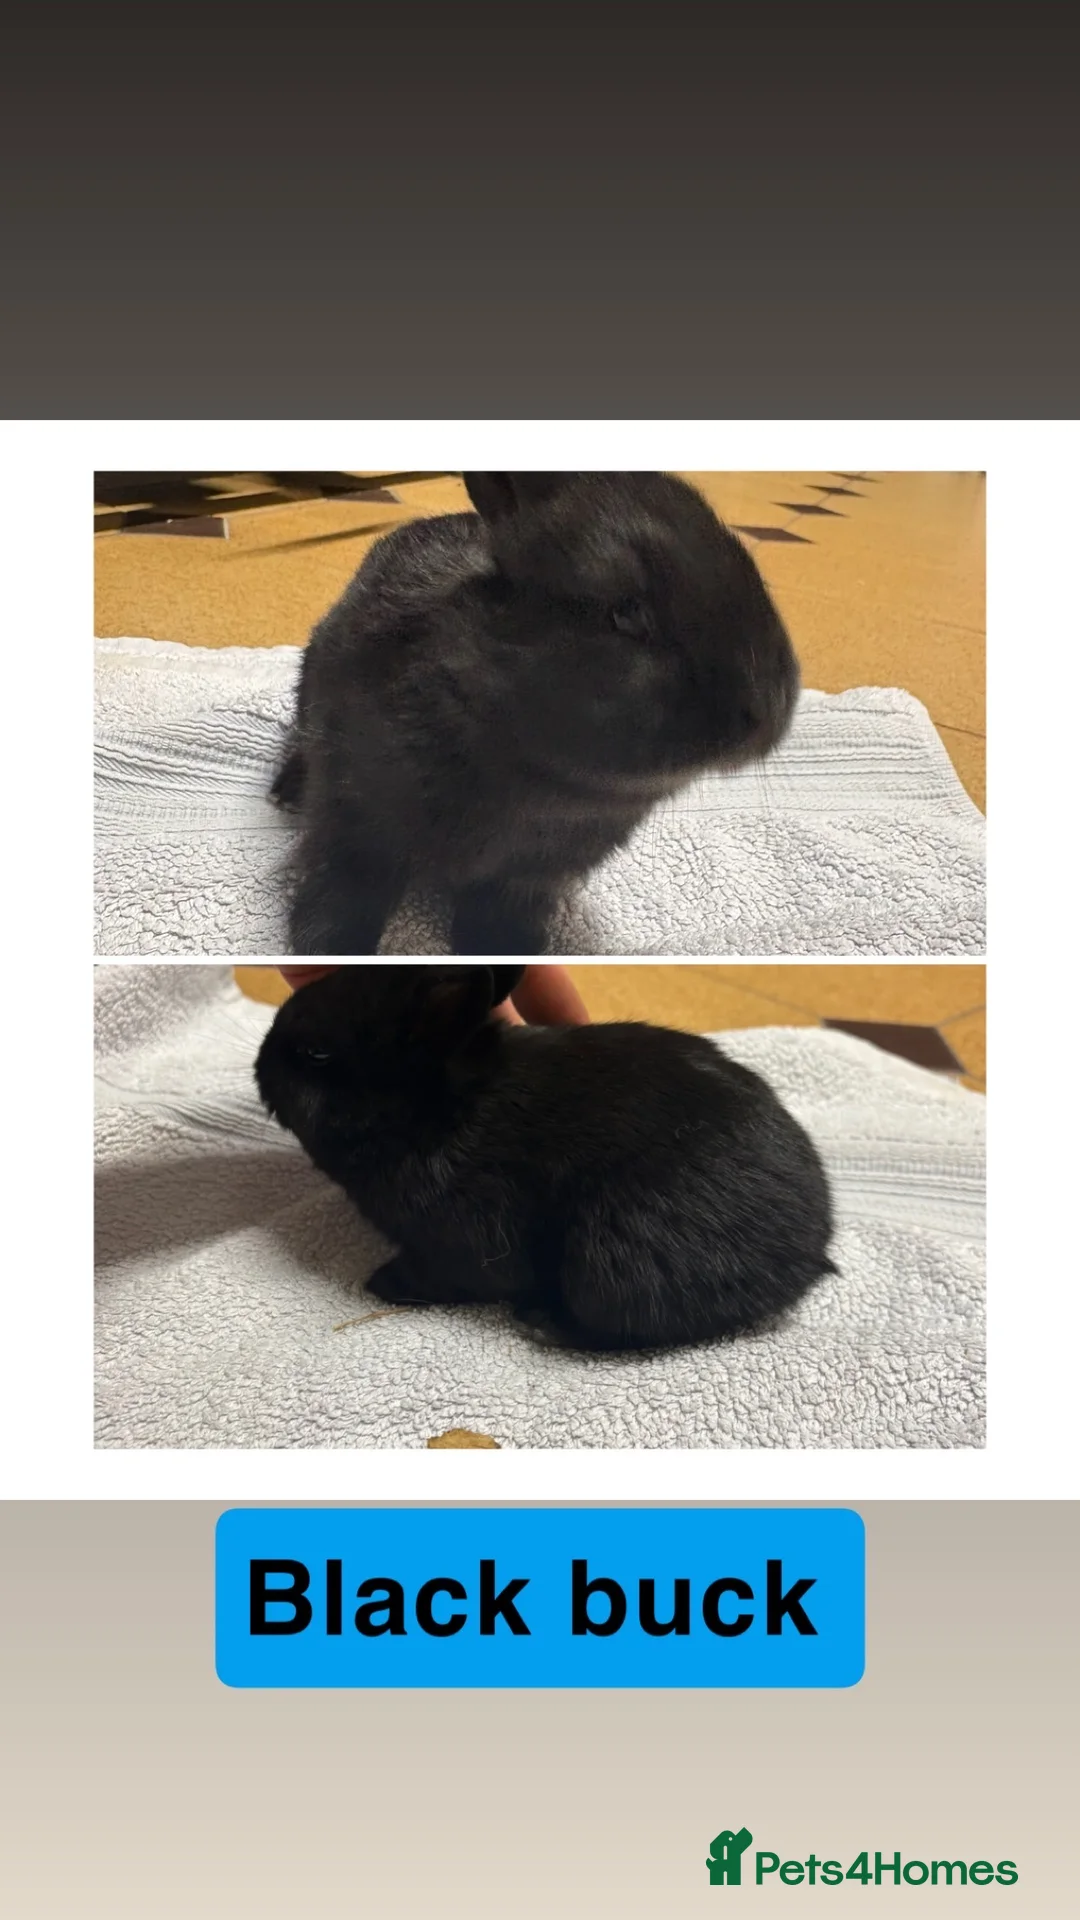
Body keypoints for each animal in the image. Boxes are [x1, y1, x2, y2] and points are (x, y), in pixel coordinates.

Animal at [254, 965, 837, 1353]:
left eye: (317, 1054)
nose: (259, 1061)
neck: (436, 1111)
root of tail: (808, 1255)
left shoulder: (460, 1244)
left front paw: (381, 1284)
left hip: (605, 1264)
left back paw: (540, 1319)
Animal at [272, 472, 801, 954]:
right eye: (626, 615)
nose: (764, 709)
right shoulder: (355, 823)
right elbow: (343, 892)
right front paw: (328, 950)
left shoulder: (532, 874)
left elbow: (502, 908)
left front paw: (507, 948)